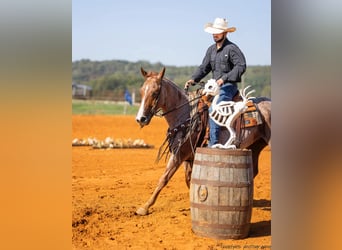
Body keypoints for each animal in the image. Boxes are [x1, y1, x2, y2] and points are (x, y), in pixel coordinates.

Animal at [135, 67, 272, 216]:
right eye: (141, 91)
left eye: (155, 92)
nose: (140, 119)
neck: (187, 114)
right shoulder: (187, 157)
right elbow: (189, 179)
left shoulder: (179, 155)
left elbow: (164, 178)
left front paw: (144, 207)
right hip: (255, 146)